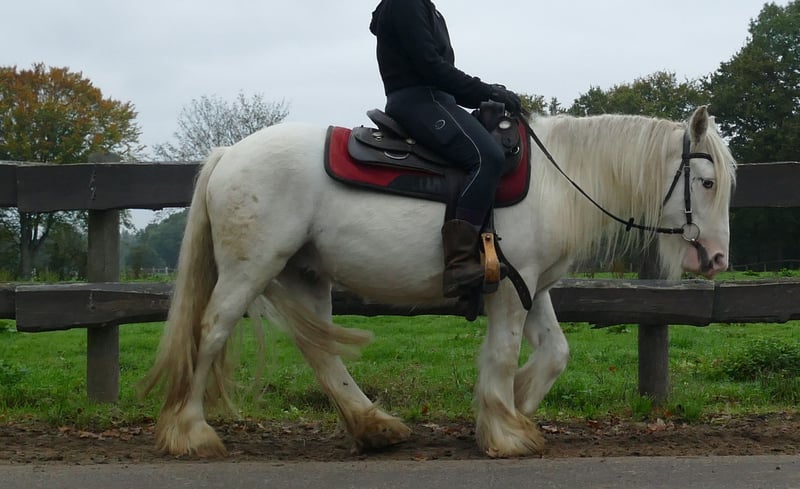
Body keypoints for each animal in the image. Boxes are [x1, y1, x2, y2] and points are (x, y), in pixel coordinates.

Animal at [143, 106, 736, 458]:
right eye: (707, 182)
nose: (717, 258)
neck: (556, 179)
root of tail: (229, 155)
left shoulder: (535, 286)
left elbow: (554, 354)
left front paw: (513, 407)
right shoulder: (509, 289)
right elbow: (503, 353)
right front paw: (504, 429)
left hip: (305, 274)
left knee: (321, 351)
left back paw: (374, 426)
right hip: (251, 267)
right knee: (211, 331)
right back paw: (191, 432)